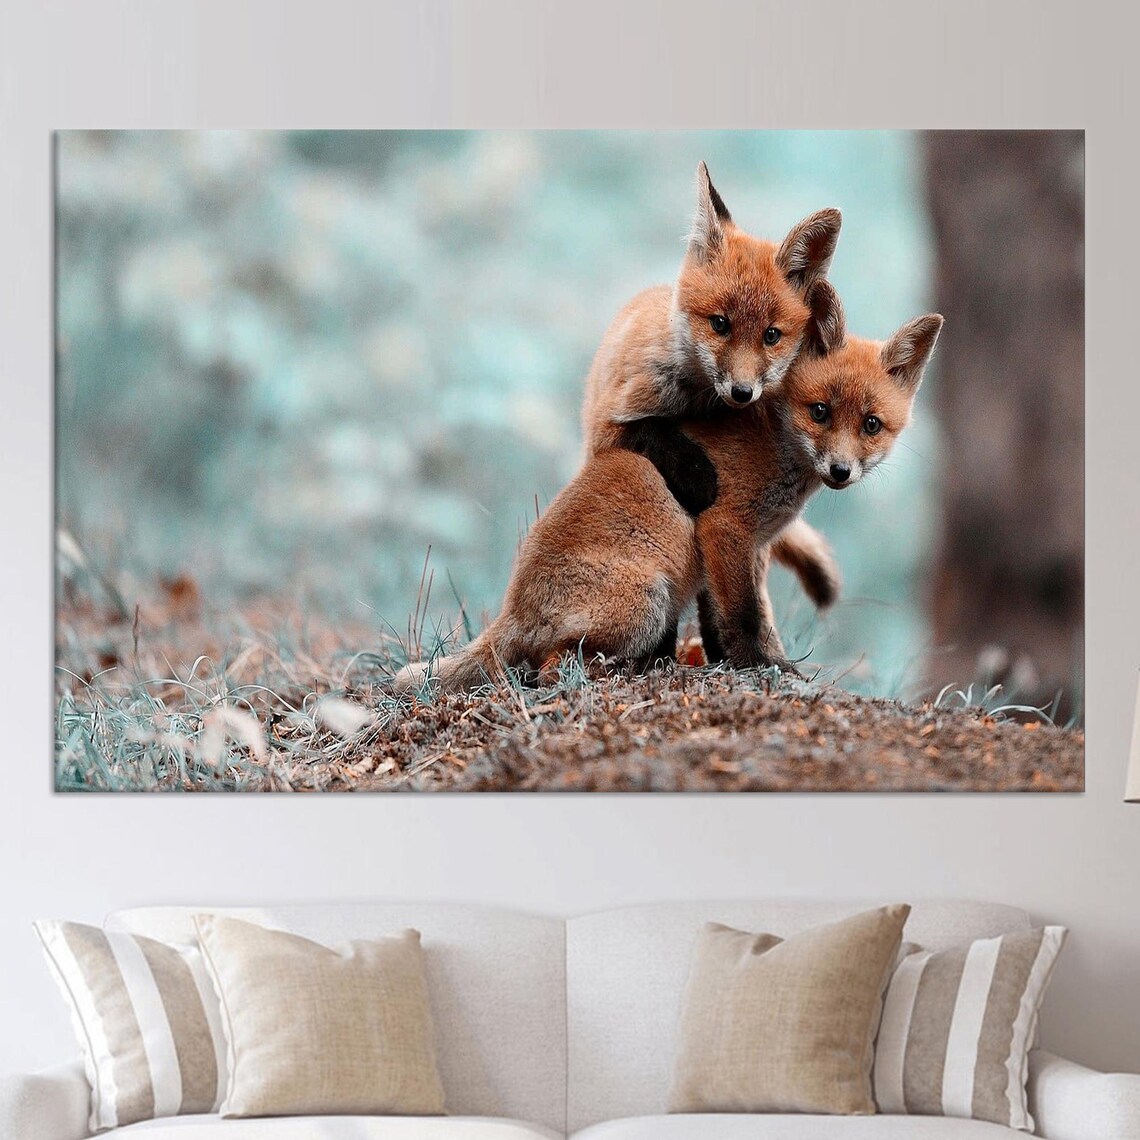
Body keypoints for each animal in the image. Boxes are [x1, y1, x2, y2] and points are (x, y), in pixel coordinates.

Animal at [394, 285, 942, 692]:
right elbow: (744, 618)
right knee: (549, 669)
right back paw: (621, 671)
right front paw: (764, 669)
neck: (776, 441)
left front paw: (742, 663)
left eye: (871, 425)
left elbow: (729, 619)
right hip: (648, 603)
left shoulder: (749, 548)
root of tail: (513, 606)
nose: (841, 470)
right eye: (821, 412)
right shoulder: (725, 528)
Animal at [582, 162, 846, 612]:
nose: (742, 392)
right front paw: (698, 475)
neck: (697, 401)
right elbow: (653, 431)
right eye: (720, 324)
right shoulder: (611, 426)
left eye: (771, 336)